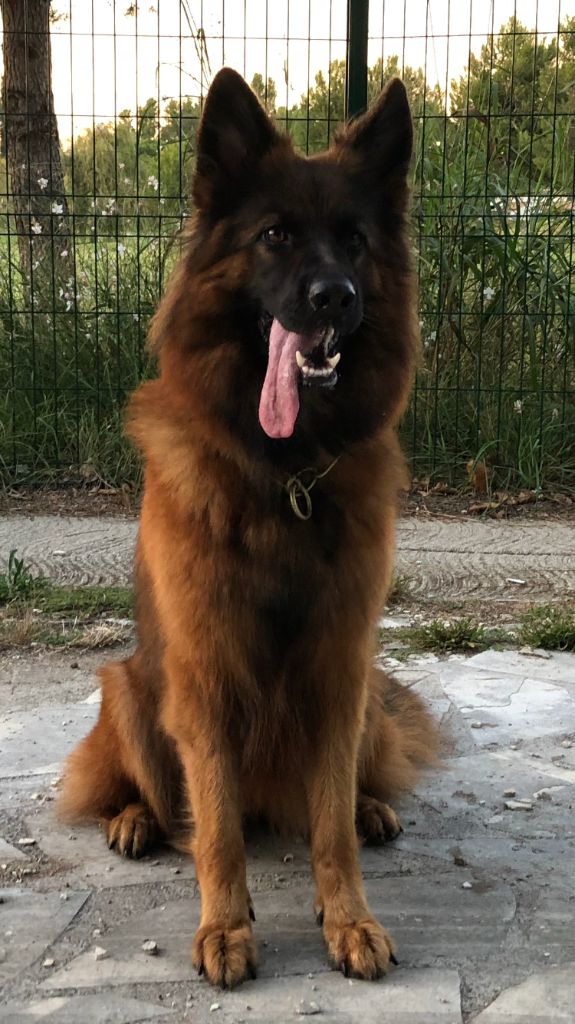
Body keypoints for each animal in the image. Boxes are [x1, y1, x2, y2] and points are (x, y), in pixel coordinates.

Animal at [60, 68, 438, 988]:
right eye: (274, 236)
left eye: (353, 242)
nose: (334, 298)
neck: (285, 474)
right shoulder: (204, 679)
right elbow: (219, 831)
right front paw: (226, 928)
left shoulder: (339, 669)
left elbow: (328, 823)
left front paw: (349, 918)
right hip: (130, 691)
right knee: (148, 793)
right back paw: (133, 820)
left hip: (366, 703)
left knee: (345, 794)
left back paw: (372, 807)